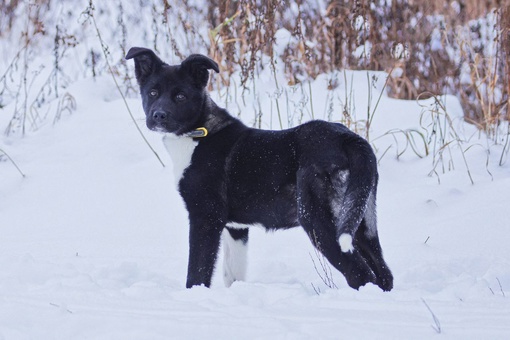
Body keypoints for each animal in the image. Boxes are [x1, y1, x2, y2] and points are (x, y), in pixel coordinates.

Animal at [126, 47, 394, 292]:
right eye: (152, 92)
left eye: (180, 96)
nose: (158, 116)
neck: (198, 132)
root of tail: (348, 139)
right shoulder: (236, 228)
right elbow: (233, 273)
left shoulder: (206, 216)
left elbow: (198, 272)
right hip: (361, 219)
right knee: (383, 274)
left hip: (318, 220)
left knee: (360, 274)